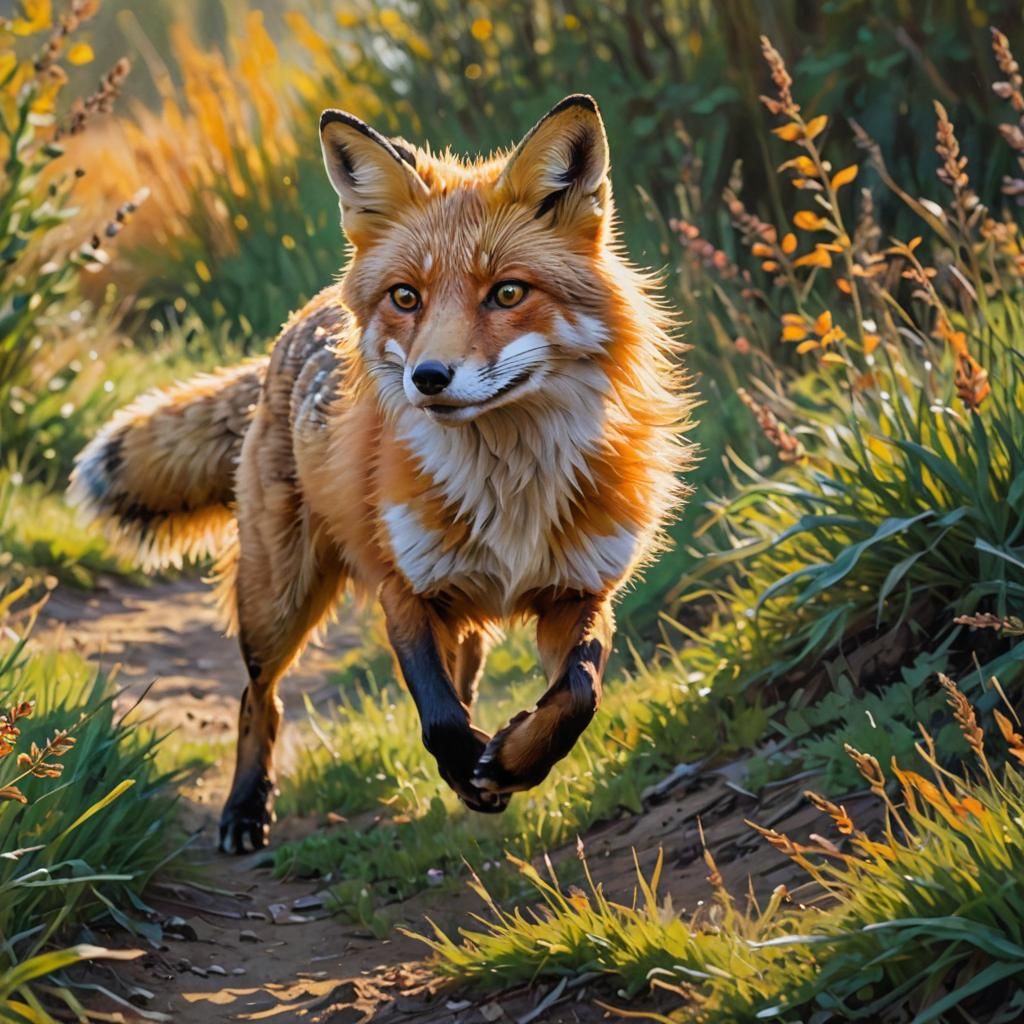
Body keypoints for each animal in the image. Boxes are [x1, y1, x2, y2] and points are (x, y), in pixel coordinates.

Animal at [70, 94, 694, 853]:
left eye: (507, 292)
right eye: (406, 298)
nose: (429, 377)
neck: (509, 486)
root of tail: (303, 316)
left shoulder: (579, 590)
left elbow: (575, 696)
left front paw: (509, 762)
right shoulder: (406, 589)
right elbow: (440, 716)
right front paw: (471, 764)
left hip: (445, 606)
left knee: (466, 671)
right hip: (277, 600)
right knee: (258, 698)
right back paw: (246, 809)